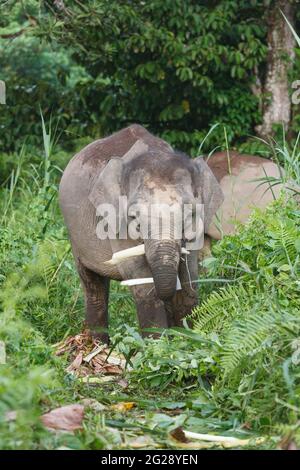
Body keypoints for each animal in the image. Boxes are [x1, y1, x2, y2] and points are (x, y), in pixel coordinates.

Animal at [59, 123, 223, 340]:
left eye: (190, 214)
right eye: (134, 217)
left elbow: (189, 279)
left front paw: (188, 339)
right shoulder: (116, 225)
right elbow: (144, 284)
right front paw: (158, 344)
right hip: (75, 237)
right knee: (93, 286)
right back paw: (97, 345)